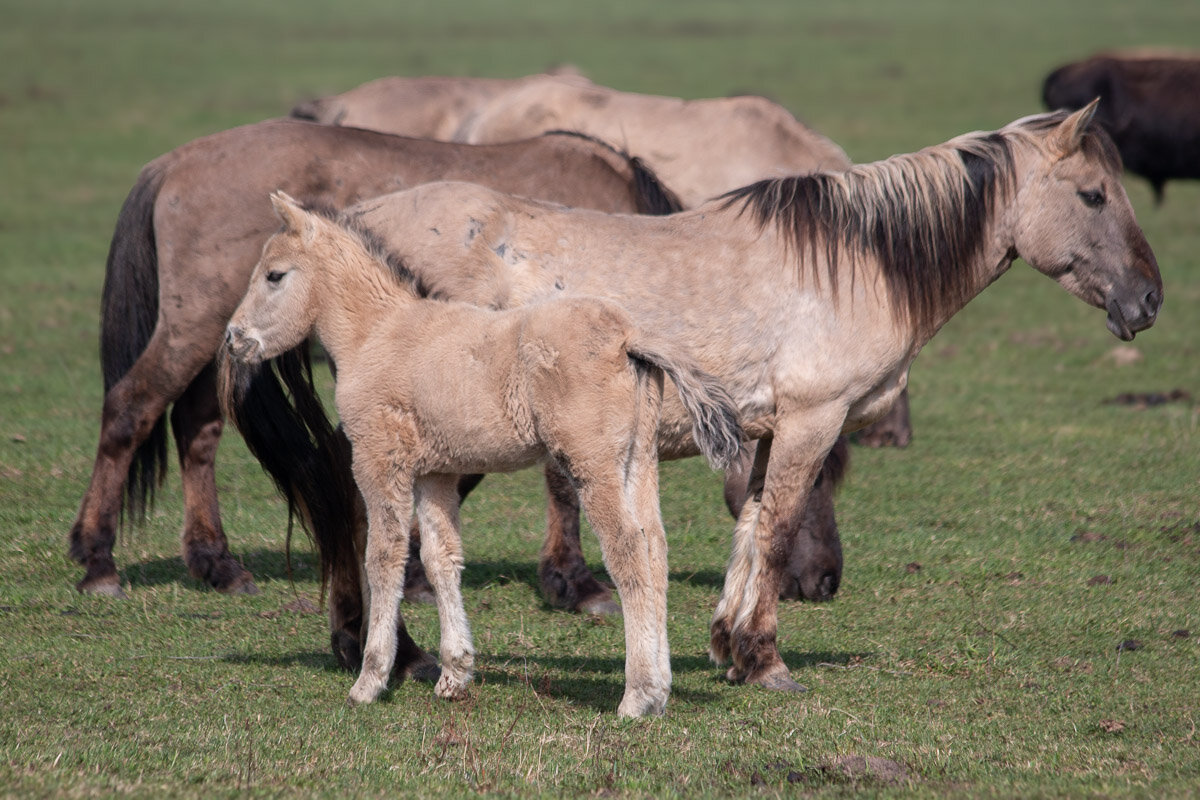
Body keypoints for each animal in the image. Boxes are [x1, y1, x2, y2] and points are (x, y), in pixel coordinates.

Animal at [68, 115, 686, 614]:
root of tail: (173, 162)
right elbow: (552, 477)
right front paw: (573, 581)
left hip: (214, 342)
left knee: (196, 427)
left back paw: (215, 561)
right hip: (195, 329)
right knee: (131, 410)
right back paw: (98, 560)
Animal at [218, 194, 739, 719]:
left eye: (274, 275)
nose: (234, 339)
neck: (375, 333)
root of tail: (627, 335)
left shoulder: (378, 460)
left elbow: (383, 557)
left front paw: (370, 680)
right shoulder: (435, 473)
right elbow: (440, 558)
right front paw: (454, 674)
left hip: (593, 463)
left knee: (628, 549)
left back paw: (638, 695)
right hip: (638, 459)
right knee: (654, 548)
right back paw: (661, 689)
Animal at [253, 101, 1161, 690]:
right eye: (1092, 195)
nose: (1148, 300)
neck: (849, 263)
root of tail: (360, 223)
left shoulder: (765, 430)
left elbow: (751, 527)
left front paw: (726, 644)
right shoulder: (811, 422)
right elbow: (776, 530)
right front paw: (765, 660)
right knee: (369, 527)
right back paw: (387, 659)